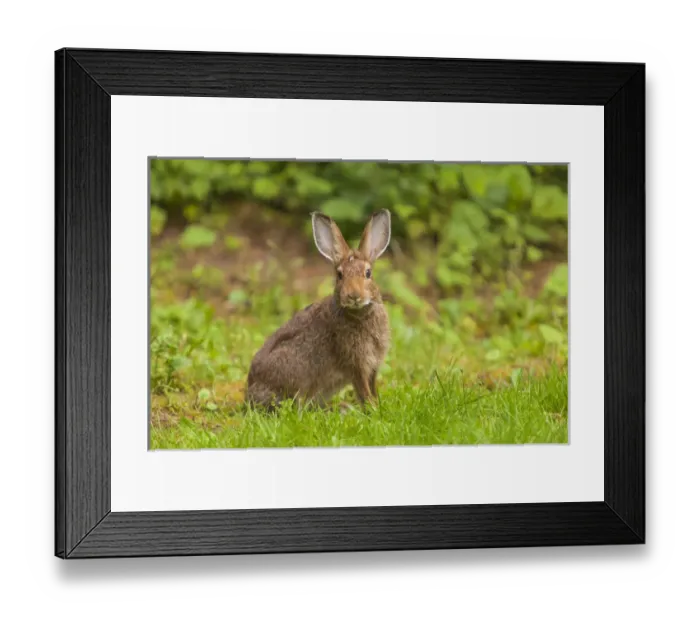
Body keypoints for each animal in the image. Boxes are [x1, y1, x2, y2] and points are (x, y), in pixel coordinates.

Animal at [245, 209, 392, 410]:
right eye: (339, 275)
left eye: (368, 273)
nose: (353, 295)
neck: (360, 314)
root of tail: (249, 394)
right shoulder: (356, 364)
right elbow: (364, 391)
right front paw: (373, 410)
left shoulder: (372, 366)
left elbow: (372, 388)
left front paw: (377, 407)